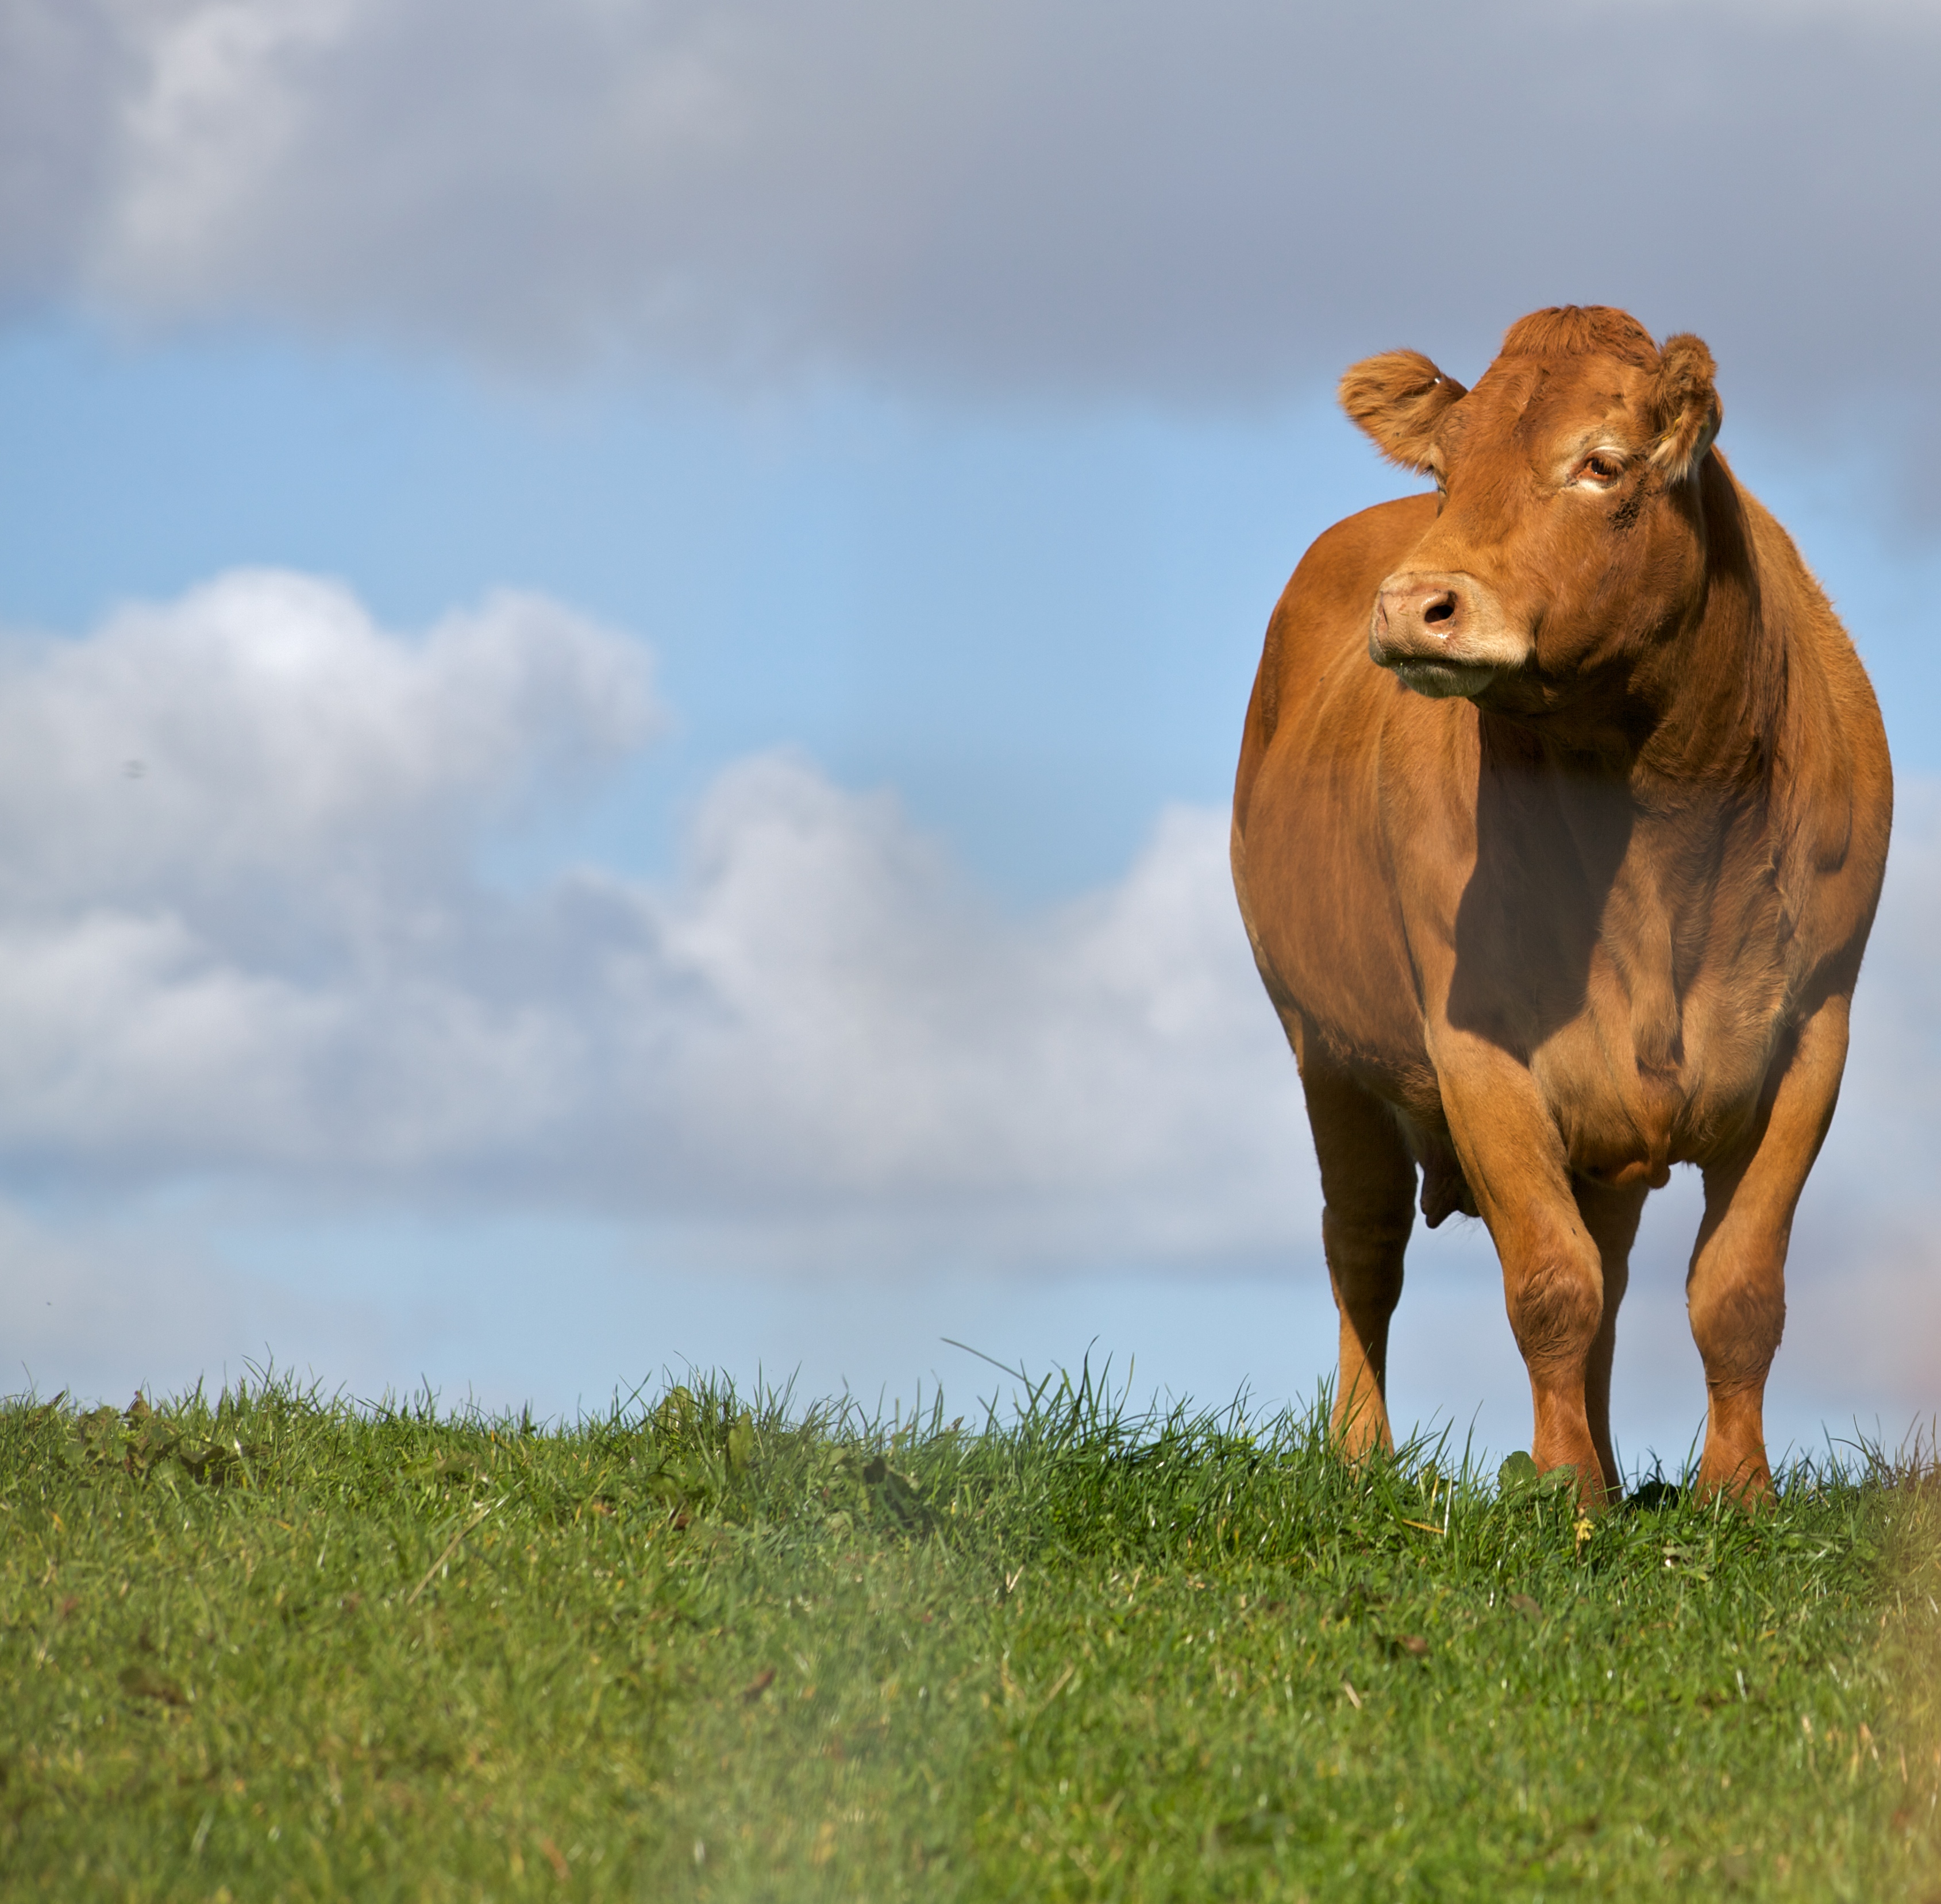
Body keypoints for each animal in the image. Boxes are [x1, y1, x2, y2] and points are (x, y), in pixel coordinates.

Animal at [1234, 309, 1886, 1498]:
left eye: (1601, 464)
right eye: (1445, 470)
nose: (1411, 603)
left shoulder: (1814, 1031)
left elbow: (1734, 1288)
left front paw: (1735, 1491)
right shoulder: (1474, 1047)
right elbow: (1549, 1282)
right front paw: (1563, 1491)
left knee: (1616, 1265)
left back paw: (1617, 1469)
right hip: (1322, 1041)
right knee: (1363, 1243)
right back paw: (1363, 1455)